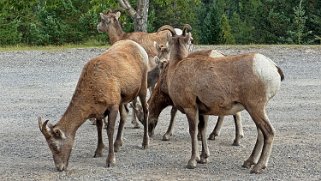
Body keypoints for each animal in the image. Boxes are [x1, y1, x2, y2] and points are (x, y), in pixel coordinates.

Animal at [37, 40, 149, 171]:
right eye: (49, 146)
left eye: (55, 146)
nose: (60, 167)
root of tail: (140, 47)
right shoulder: (100, 109)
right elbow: (99, 127)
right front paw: (98, 151)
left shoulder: (113, 104)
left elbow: (109, 130)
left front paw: (110, 160)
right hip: (122, 98)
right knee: (125, 114)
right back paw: (118, 144)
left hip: (143, 85)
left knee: (145, 110)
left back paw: (145, 143)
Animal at [164, 24, 284, 173]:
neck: (176, 66)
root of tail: (273, 67)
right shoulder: (201, 110)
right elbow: (202, 130)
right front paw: (203, 158)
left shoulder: (190, 108)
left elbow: (193, 131)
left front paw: (192, 162)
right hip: (257, 109)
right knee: (261, 133)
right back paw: (248, 162)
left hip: (256, 108)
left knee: (268, 132)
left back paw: (257, 167)